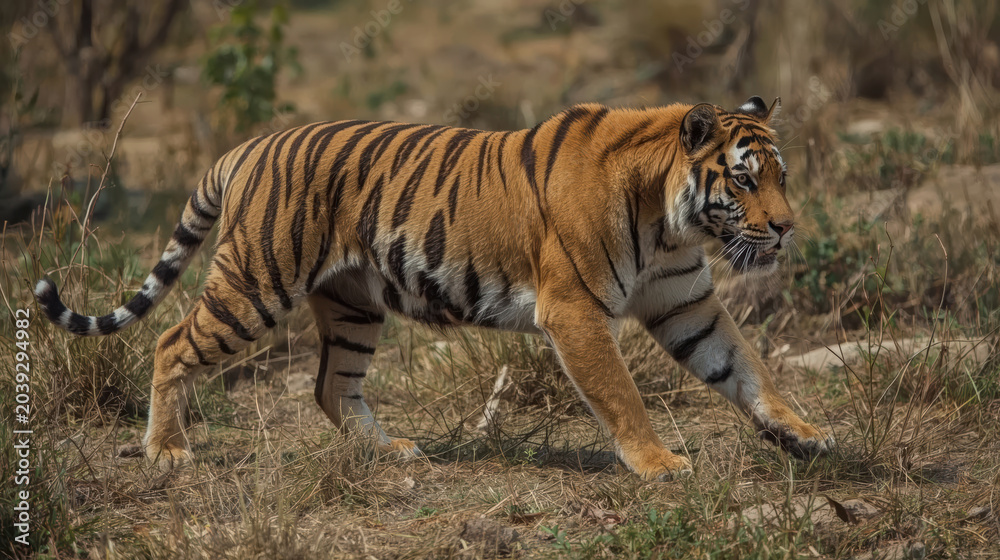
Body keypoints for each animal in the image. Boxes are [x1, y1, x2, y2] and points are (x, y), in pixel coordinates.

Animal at [35, 95, 833, 480]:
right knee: (172, 342)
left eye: (780, 175)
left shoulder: (685, 302)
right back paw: (166, 451)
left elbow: (746, 368)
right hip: (256, 283)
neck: (673, 222)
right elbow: (622, 397)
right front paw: (660, 465)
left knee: (331, 386)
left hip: (353, 303)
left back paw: (389, 453)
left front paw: (803, 433)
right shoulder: (574, 310)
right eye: (745, 179)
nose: (787, 228)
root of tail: (245, 146)